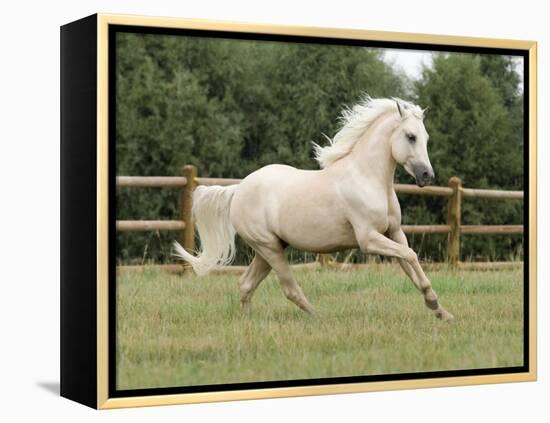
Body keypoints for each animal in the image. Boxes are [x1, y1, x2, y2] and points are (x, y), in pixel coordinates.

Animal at [175, 97, 454, 322]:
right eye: (410, 136)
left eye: (426, 138)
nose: (427, 175)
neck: (367, 178)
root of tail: (239, 189)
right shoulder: (368, 239)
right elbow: (410, 256)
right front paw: (433, 303)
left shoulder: (394, 232)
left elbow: (409, 260)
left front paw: (441, 312)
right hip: (269, 247)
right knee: (289, 288)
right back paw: (319, 317)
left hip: (268, 249)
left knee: (245, 284)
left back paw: (248, 322)